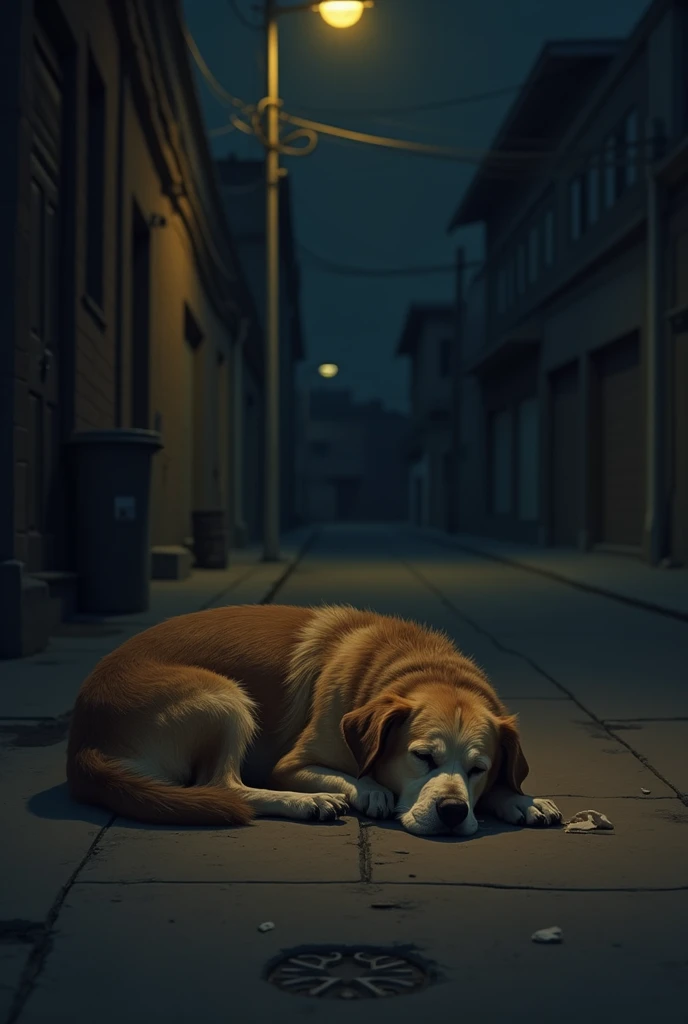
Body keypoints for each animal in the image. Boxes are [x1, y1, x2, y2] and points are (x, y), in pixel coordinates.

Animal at [67, 602, 561, 835]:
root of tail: (81, 743)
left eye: (479, 769)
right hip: (225, 697)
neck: (417, 665)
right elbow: (354, 776)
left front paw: (522, 800)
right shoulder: (291, 764)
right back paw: (307, 802)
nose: (454, 812)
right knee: (224, 785)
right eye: (423, 757)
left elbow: (505, 785)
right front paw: (369, 788)